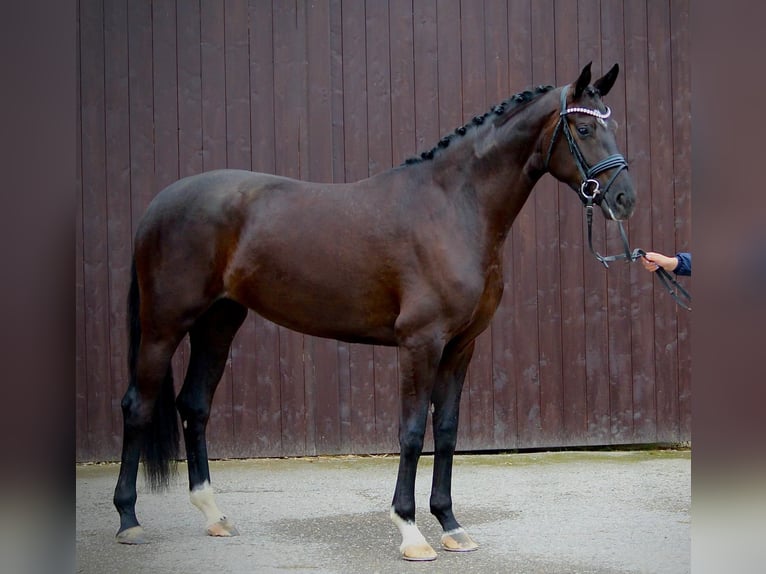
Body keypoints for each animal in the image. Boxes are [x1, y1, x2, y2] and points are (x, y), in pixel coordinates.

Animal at [113, 62, 635, 561]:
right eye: (584, 129)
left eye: (612, 126)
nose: (624, 198)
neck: (453, 208)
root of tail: (159, 205)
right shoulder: (420, 344)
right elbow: (411, 432)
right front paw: (410, 532)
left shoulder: (461, 346)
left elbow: (446, 431)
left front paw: (450, 525)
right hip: (164, 326)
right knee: (138, 406)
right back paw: (128, 520)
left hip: (218, 323)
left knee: (194, 405)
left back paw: (213, 515)